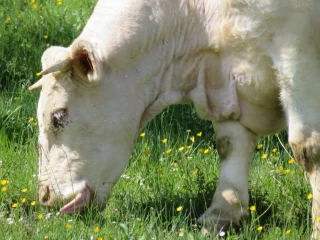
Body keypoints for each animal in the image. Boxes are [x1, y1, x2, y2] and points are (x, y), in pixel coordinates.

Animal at [29, 0, 320, 236]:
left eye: (58, 116)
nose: (44, 197)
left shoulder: (297, 52)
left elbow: (308, 149)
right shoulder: (225, 85)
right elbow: (230, 146)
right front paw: (221, 215)